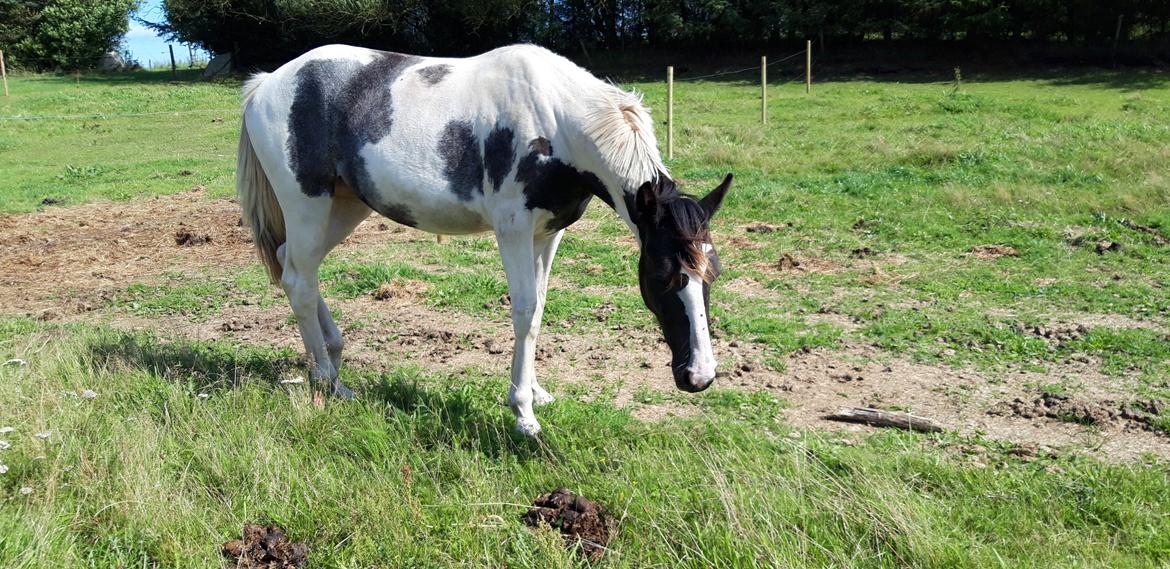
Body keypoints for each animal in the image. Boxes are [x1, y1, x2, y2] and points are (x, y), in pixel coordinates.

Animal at [237, 43, 730, 435]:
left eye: (713, 274)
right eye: (662, 276)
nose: (699, 376)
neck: (556, 120)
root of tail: (266, 84)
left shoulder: (548, 233)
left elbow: (539, 309)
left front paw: (536, 392)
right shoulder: (512, 229)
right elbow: (524, 312)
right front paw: (524, 414)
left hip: (344, 208)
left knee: (295, 266)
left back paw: (333, 359)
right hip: (307, 205)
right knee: (299, 281)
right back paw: (328, 379)